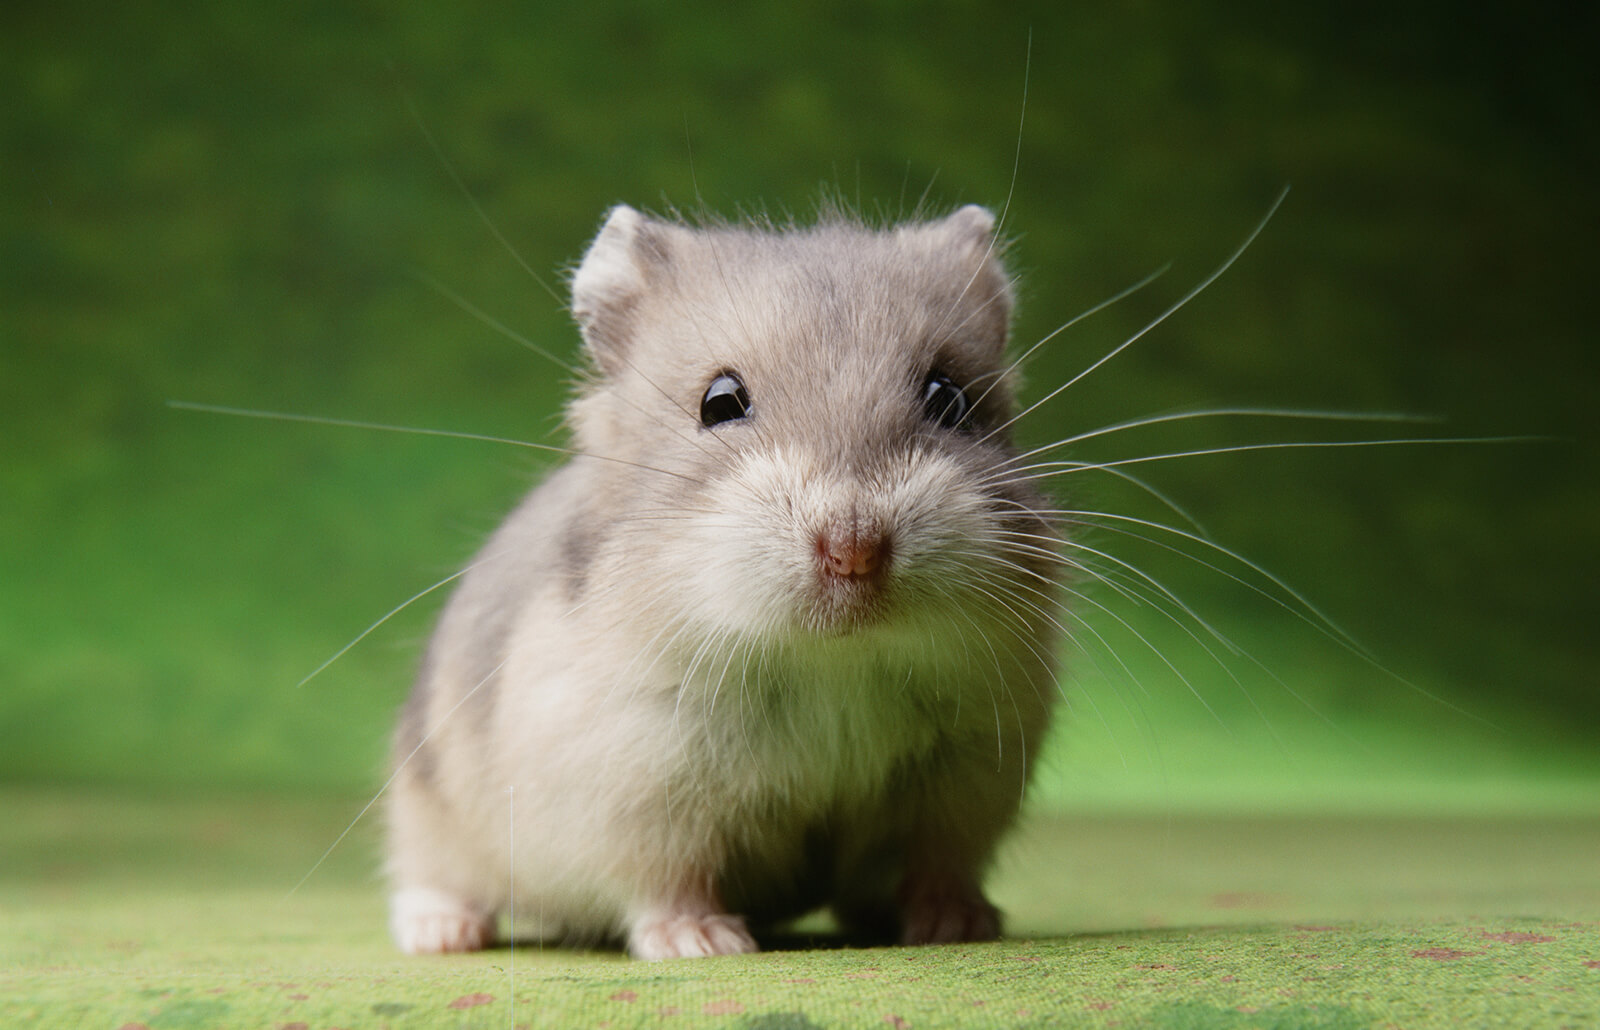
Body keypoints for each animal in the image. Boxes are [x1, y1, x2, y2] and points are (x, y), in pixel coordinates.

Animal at [384, 203, 1064, 959]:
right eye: (720, 402)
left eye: (949, 397)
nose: (854, 550)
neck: (831, 663)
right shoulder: (640, 788)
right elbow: (669, 877)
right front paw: (704, 944)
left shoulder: (965, 777)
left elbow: (937, 865)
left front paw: (959, 926)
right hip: (426, 805)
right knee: (431, 875)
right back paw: (443, 934)